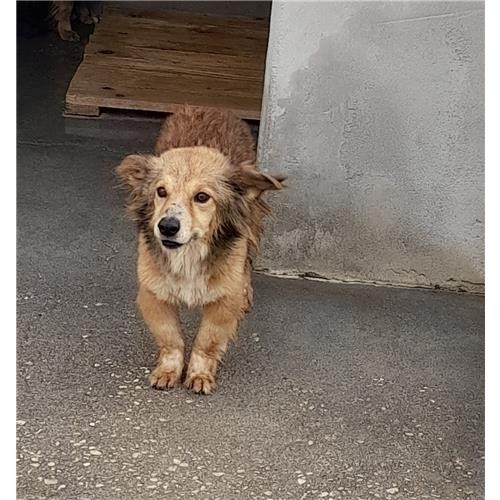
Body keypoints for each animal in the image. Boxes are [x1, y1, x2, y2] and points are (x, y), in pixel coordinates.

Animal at [116, 106, 285, 394]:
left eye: (202, 197)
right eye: (161, 191)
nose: (167, 227)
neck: (188, 255)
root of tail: (210, 107)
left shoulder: (224, 301)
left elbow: (206, 342)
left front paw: (199, 374)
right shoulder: (153, 294)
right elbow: (171, 339)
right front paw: (169, 371)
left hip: (251, 225)